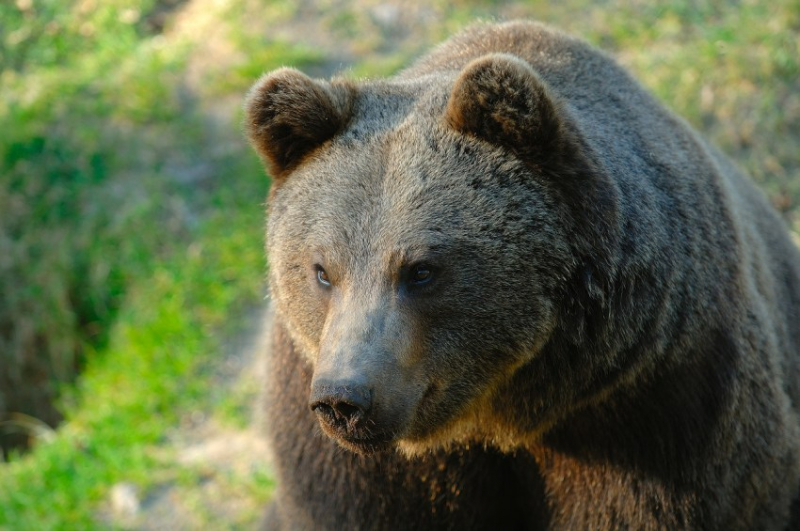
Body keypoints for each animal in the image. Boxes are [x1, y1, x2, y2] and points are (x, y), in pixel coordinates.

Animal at [244, 19, 800, 531]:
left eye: (421, 270)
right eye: (322, 270)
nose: (345, 399)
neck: (498, 411)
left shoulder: (656, 409)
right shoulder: (342, 459)